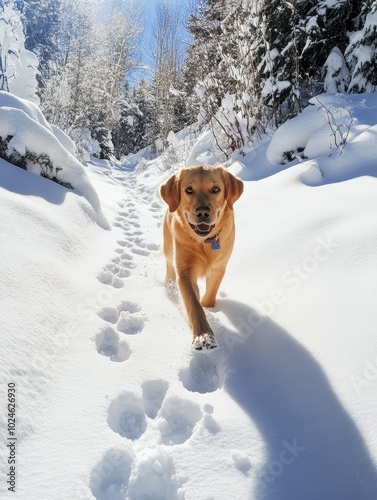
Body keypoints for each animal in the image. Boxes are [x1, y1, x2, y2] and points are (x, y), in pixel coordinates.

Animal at [159, 166, 244, 350]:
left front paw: (209, 308)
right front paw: (203, 336)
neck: (205, 242)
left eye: (216, 189)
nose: (203, 212)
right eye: (189, 190)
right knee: (169, 269)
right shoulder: (184, 272)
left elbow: (210, 295)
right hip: (168, 250)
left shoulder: (219, 268)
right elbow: (193, 304)